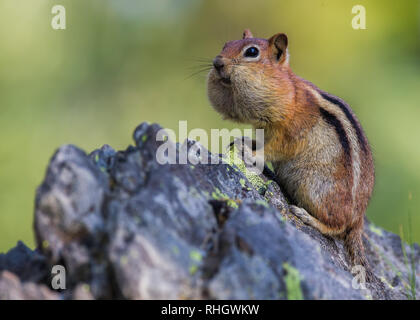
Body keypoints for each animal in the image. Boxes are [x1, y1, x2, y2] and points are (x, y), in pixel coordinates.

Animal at [208, 29, 376, 280]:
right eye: (226, 44)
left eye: (251, 52)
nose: (217, 62)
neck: (289, 93)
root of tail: (359, 218)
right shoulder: (264, 129)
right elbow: (259, 141)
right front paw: (243, 141)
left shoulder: (291, 132)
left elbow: (274, 149)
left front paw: (251, 152)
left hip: (314, 187)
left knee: (337, 227)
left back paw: (307, 217)